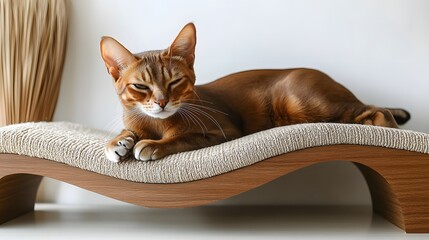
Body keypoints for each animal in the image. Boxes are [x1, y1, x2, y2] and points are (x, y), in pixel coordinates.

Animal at [99, 22, 408, 162]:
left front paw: (150, 145)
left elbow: (182, 138)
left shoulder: (223, 131)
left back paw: (387, 128)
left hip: (305, 103)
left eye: (175, 82)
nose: (162, 102)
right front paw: (118, 142)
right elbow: (126, 131)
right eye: (141, 86)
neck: (157, 123)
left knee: (373, 109)